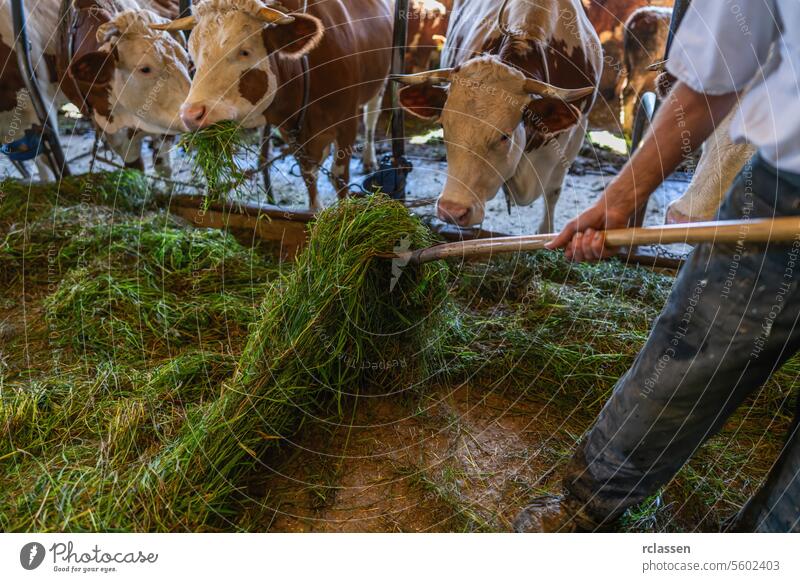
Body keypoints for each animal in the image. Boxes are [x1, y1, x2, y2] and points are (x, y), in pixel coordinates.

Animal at [154, 0, 394, 210]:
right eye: (192, 55)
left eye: (244, 51)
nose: (191, 114)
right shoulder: (290, 130)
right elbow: (308, 174)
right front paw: (315, 211)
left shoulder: (346, 124)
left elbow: (339, 176)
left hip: (380, 82)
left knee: (371, 117)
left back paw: (369, 159)